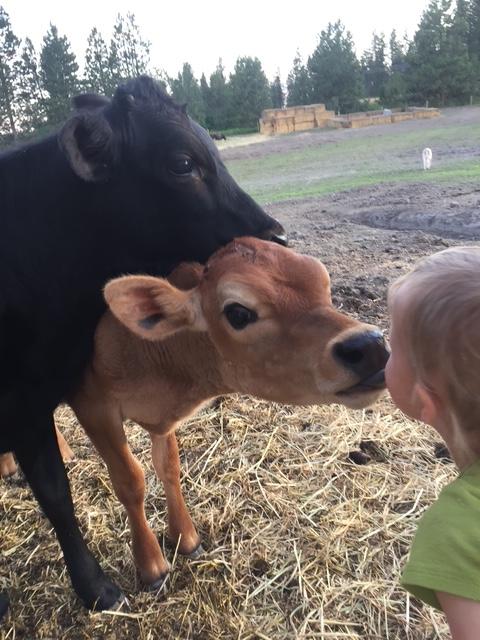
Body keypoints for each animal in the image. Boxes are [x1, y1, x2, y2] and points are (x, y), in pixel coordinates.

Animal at [62, 237, 389, 589]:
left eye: (323, 283)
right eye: (238, 312)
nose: (369, 345)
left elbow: (169, 467)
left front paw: (186, 537)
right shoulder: (92, 404)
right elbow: (130, 481)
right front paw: (151, 564)